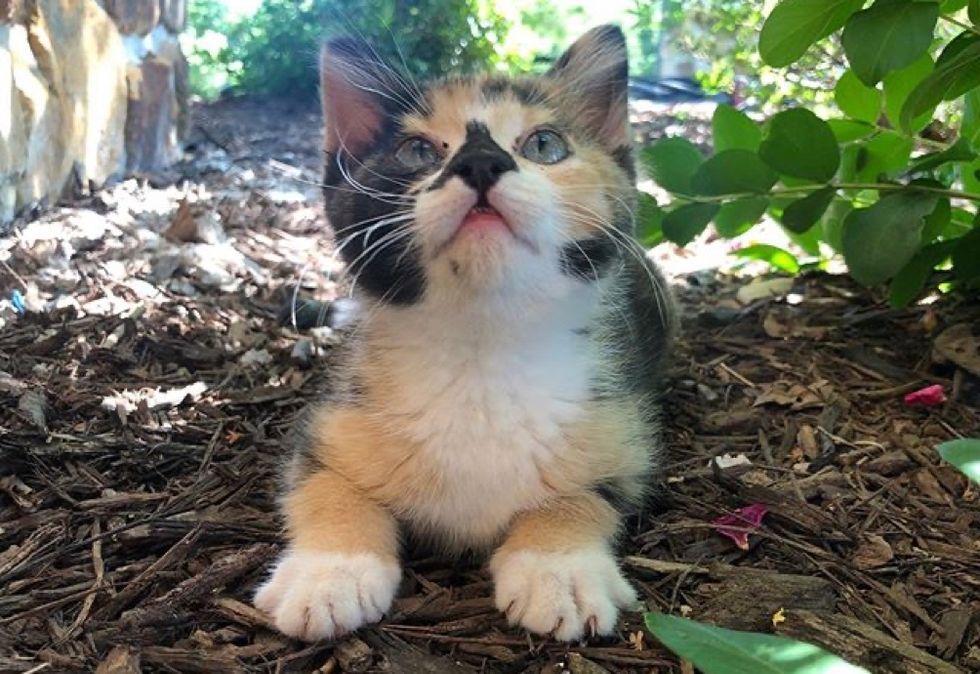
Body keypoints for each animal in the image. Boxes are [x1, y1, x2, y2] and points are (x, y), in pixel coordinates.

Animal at [255, 22, 672, 640]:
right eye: (418, 151)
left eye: (544, 145)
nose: (479, 162)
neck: (481, 347)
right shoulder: (327, 424)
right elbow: (325, 483)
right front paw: (330, 571)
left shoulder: (624, 436)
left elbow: (584, 496)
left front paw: (558, 569)